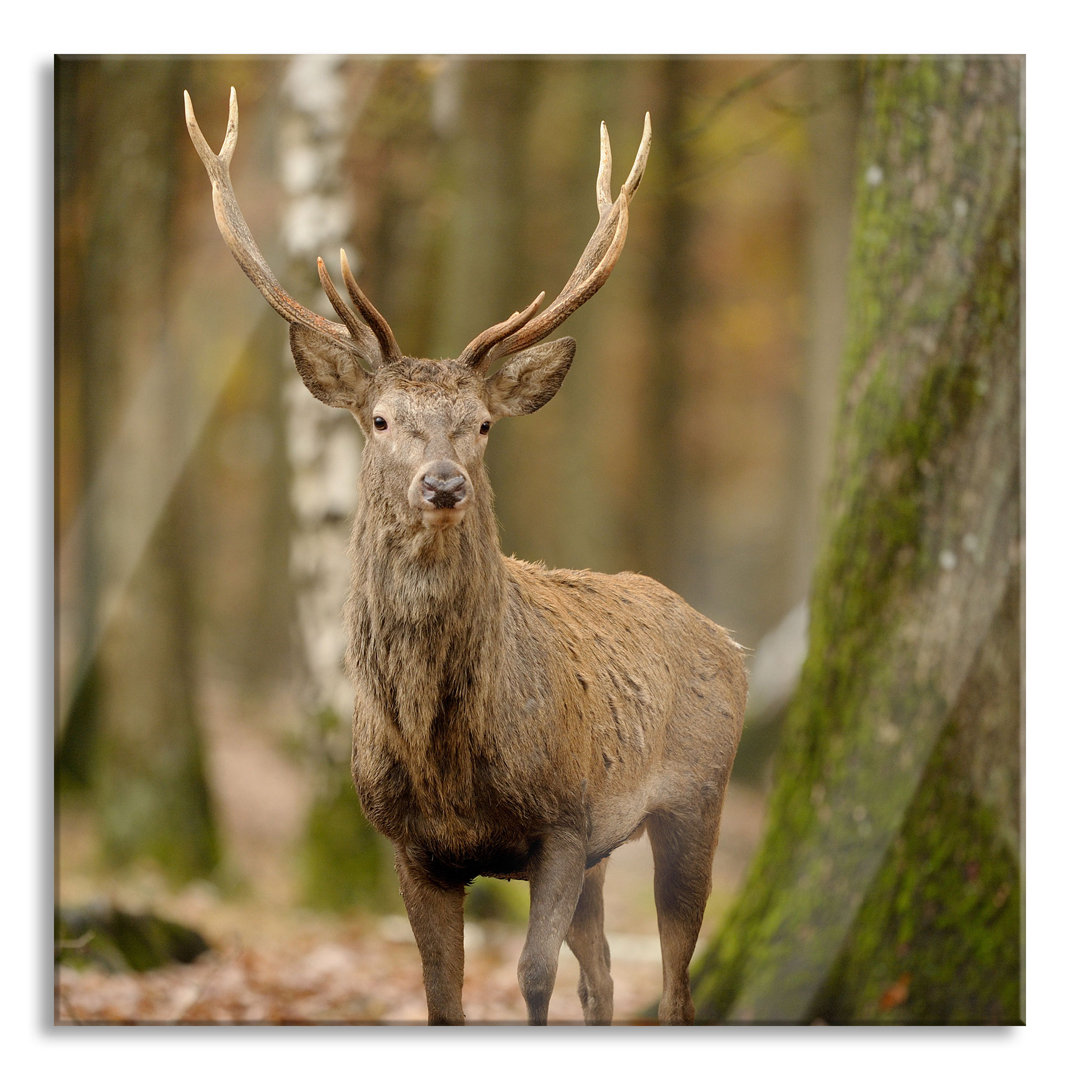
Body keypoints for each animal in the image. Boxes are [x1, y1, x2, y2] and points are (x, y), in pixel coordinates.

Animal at [185, 88, 747, 1023]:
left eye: (481, 424)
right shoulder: (412, 845)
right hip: (610, 850)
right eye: (380, 420)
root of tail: (727, 638)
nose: (443, 482)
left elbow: (532, 977)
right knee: (605, 976)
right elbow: (442, 995)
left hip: (698, 799)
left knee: (673, 981)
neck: (448, 760)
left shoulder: (563, 821)